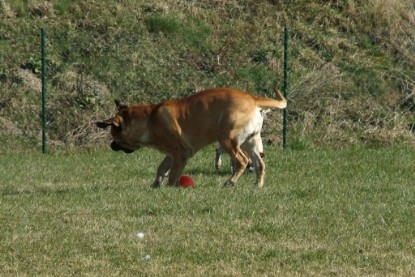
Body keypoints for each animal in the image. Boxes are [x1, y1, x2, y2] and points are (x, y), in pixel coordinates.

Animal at [96, 87, 286, 187]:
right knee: (259, 164)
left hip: (227, 139)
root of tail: (253, 99)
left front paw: (169, 187)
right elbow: (161, 168)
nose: (111, 145)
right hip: (250, 142)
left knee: (242, 161)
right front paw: (155, 184)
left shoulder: (180, 154)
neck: (149, 119)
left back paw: (230, 182)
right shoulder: (171, 154)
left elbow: (173, 174)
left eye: (114, 136)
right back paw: (257, 185)